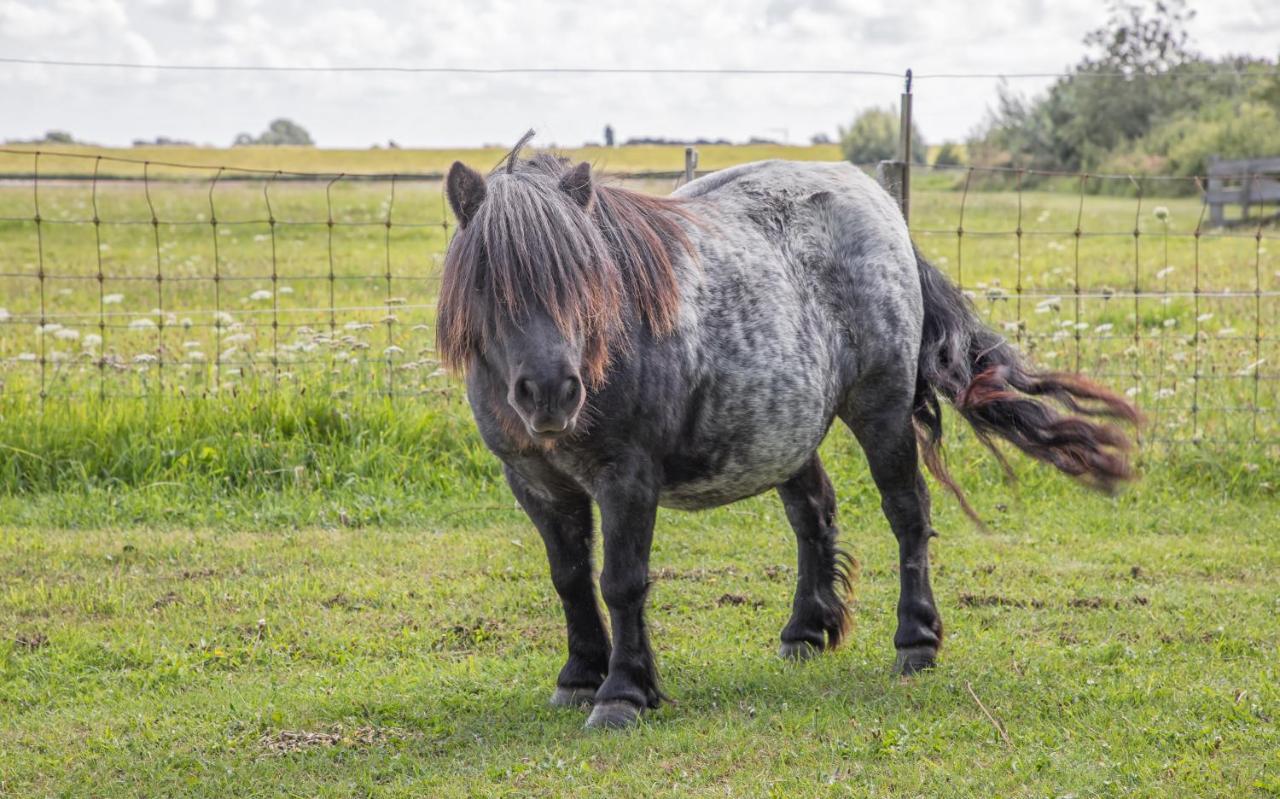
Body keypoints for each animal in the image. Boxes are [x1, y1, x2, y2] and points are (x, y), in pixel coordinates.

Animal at [435, 135, 1136, 732]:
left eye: (583, 275)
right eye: (487, 281)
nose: (552, 392)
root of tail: (883, 207)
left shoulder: (627, 478)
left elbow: (621, 582)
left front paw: (623, 694)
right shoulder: (534, 481)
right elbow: (570, 577)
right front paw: (580, 676)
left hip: (879, 409)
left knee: (907, 513)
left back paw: (915, 643)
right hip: (785, 432)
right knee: (814, 514)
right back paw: (805, 631)